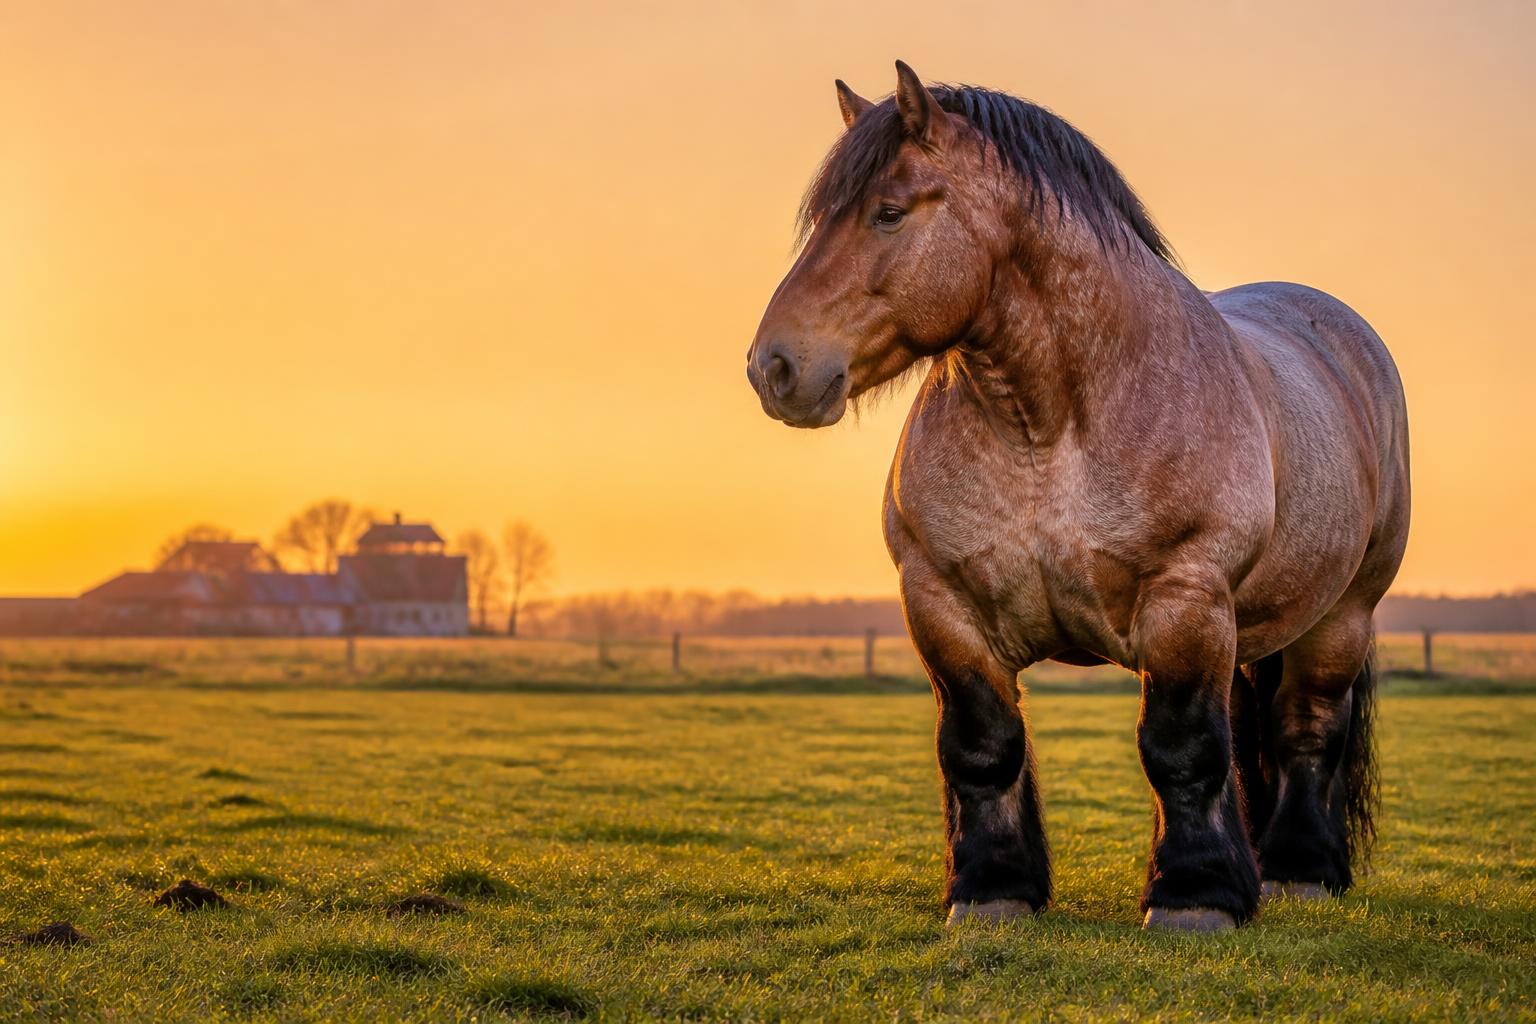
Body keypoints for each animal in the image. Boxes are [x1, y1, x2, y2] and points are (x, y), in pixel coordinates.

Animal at [746, 62, 1410, 932]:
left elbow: (1181, 749)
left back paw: (1301, 870)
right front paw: (993, 890)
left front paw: (1193, 897)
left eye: (888, 211)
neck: (1050, 428)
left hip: (1341, 616)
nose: (774, 367)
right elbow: (983, 748)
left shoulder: (1183, 602)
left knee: (1307, 728)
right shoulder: (942, 605)